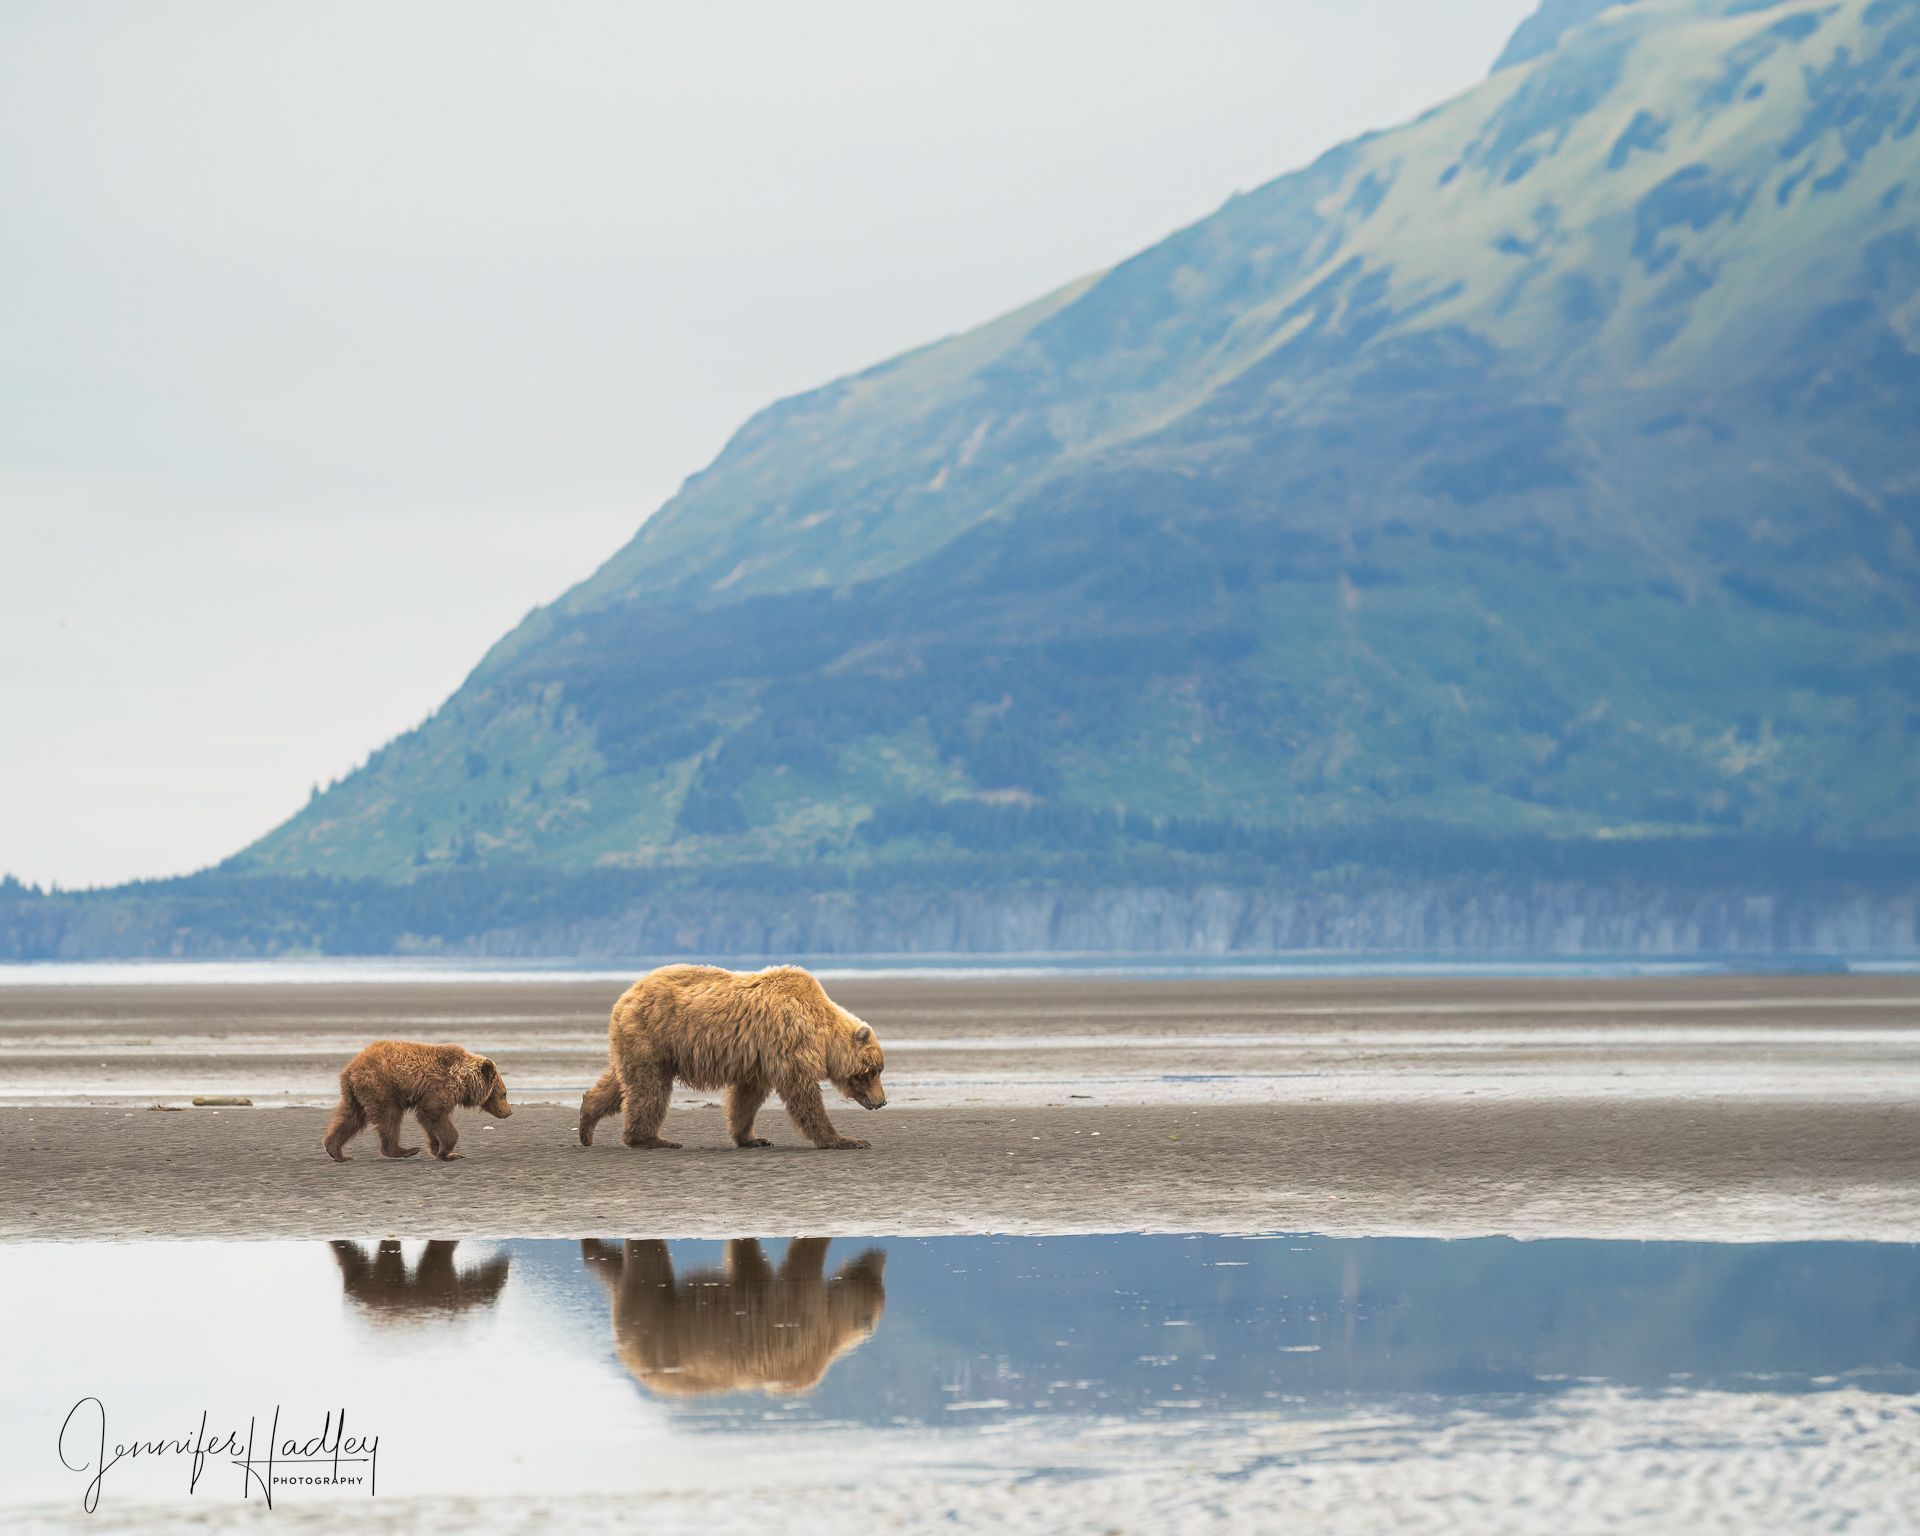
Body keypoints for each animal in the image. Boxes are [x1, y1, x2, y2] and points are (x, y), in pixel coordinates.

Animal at [322, 1040, 511, 1162]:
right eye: (504, 1094)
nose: (509, 1112)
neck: (464, 1082)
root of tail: (350, 1069)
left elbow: (430, 1123)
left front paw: (437, 1148)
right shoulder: (440, 1088)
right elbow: (433, 1115)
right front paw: (448, 1152)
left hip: (356, 1094)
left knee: (350, 1118)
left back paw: (337, 1152)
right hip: (382, 1088)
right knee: (389, 1118)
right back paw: (405, 1150)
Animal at [577, 963, 886, 1151]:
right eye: (872, 1071)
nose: (882, 1101)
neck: (823, 1034)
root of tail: (626, 995)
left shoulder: (759, 1058)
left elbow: (747, 1098)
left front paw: (752, 1138)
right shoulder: (789, 1041)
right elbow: (802, 1093)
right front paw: (846, 1139)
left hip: (642, 1043)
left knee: (622, 1082)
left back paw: (586, 1121)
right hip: (653, 1035)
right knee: (649, 1089)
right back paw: (652, 1139)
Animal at [580, 1237, 886, 1397]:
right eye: (877, 1282)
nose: (880, 1254)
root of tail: (628, 1358)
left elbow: (747, 1262)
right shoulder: (802, 1321)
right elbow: (801, 1263)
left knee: (622, 1273)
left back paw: (596, 1252)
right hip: (656, 1321)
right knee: (646, 1266)